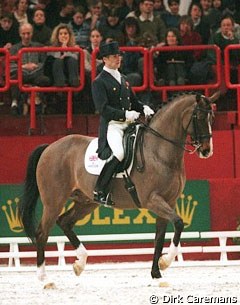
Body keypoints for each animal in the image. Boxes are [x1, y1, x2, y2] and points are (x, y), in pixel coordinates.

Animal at [18, 91, 218, 286]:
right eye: (199, 116)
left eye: (212, 118)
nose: (207, 151)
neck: (159, 152)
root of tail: (49, 147)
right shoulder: (153, 200)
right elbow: (178, 223)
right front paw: (165, 262)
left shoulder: (169, 201)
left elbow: (160, 236)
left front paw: (157, 274)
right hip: (54, 201)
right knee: (42, 233)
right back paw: (45, 278)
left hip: (86, 201)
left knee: (65, 222)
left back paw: (80, 262)